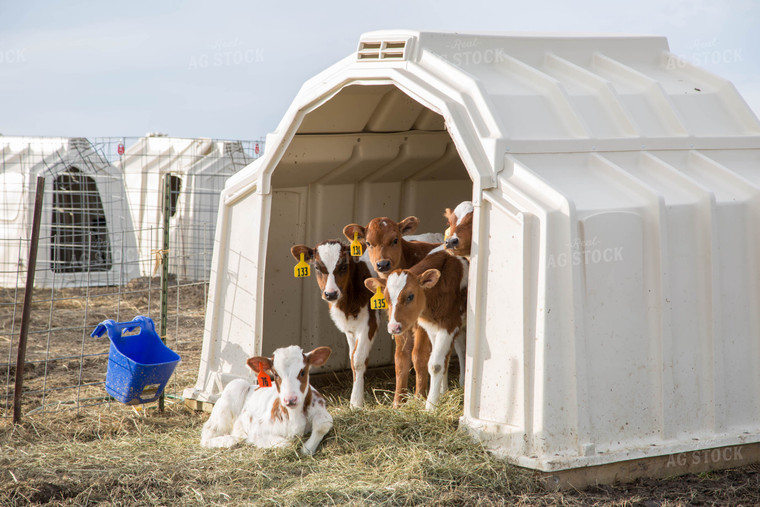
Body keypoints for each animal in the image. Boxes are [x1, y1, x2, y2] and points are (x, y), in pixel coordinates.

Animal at [202, 346, 332, 456]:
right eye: (276, 374)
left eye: (303, 372)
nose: (290, 399)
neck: (293, 416)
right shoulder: (257, 430)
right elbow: (286, 443)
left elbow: (324, 423)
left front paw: (307, 448)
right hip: (234, 388)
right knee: (207, 434)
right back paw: (230, 440)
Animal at [290, 241, 378, 408]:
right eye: (317, 267)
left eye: (343, 266)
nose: (331, 293)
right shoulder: (350, 328)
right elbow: (352, 359)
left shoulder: (369, 322)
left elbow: (358, 360)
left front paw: (356, 402)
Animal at [342, 216, 442, 406]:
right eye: (368, 243)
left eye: (395, 239)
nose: (382, 264)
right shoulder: (398, 322)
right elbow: (401, 358)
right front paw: (398, 402)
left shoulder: (422, 325)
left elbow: (419, 356)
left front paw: (419, 397)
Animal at [364, 252, 466, 410]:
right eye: (385, 298)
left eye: (410, 296)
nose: (393, 327)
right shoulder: (430, 329)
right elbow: (402, 359)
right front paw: (398, 402)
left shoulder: (447, 326)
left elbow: (430, 362)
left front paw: (428, 404)